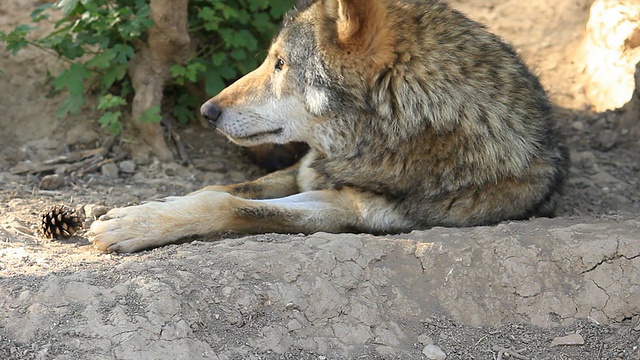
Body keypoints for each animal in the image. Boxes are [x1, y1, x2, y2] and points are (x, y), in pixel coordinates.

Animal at [86, 0, 568, 253]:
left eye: (281, 64)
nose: (207, 111)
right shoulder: (305, 169)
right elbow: (217, 189)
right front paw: (147, 206)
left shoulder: (348, 209)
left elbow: (230, 206)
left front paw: (132, 225)